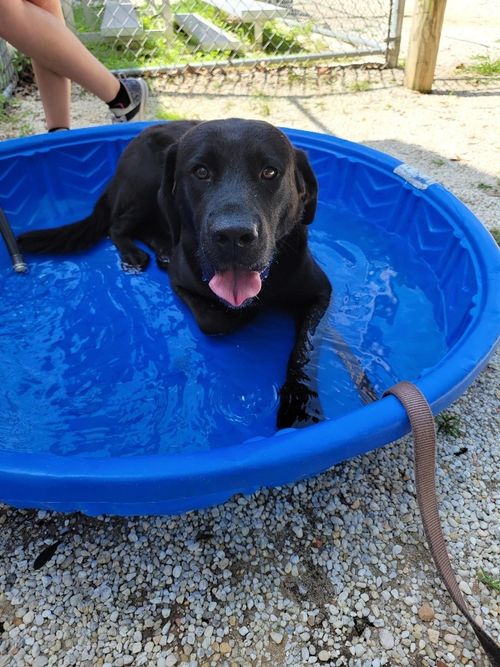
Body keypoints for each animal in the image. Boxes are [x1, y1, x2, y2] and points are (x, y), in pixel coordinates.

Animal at [18, 119, 332, 428]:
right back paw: (135, 254)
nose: (233, 235)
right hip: (147, 184)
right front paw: (246, 312)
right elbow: (216, 320)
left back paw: (162, 249)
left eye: (269, 172)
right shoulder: (181, 282)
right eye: (201, 172)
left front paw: (300, 403)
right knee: (117, 226)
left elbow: (306, 348)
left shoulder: (320, 292)